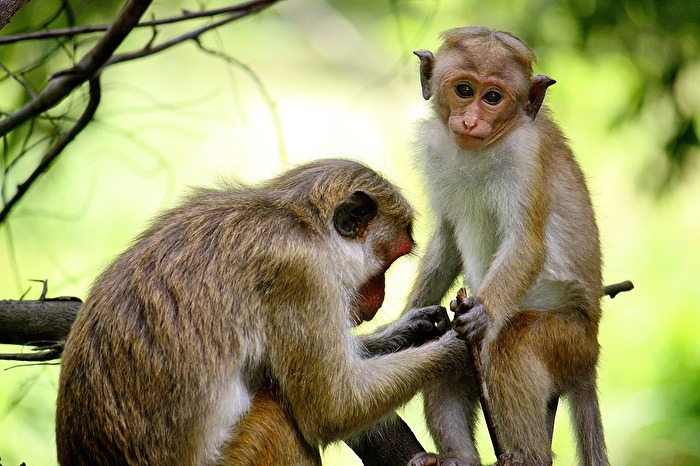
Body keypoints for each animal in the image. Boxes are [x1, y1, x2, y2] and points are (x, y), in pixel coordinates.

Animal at [55, 158, 465, 466]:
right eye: (385, 266)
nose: (376, 300)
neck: (300, 224)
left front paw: (410, 328)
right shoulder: (301, 274)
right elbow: (333, 408)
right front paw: (457, 347)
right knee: (277, 415)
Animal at [401, 27, 609, 466]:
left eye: (493, 97)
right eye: (464, 89)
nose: (470, 119)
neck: (483, 149)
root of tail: (592, 356)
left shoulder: (524, 158)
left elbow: (526, 245)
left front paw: (483, 313)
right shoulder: (437, 148)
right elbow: (447, 238)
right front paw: (405, 323)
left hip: (569, 341)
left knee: (511, 342)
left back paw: (529, 456)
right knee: (445, 357)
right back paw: (457, 458)